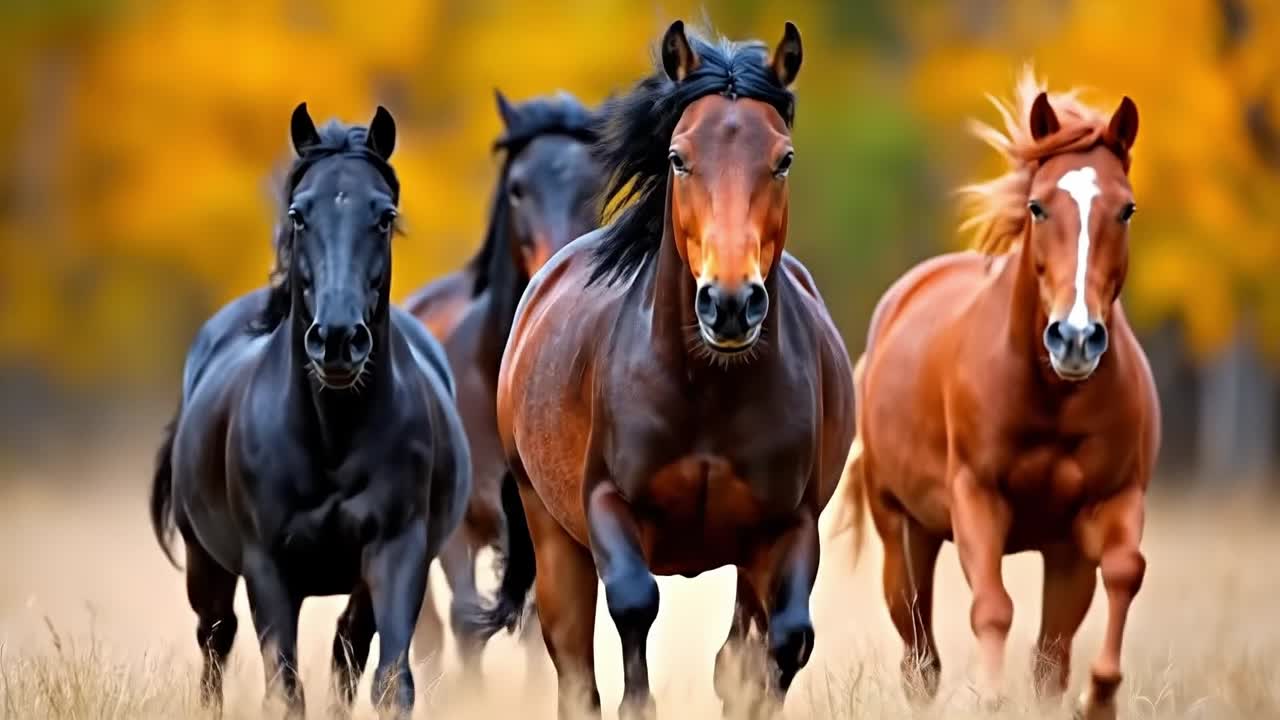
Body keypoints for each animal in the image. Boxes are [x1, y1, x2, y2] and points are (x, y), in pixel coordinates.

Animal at [149, 104, 472, 719]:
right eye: (299, 214)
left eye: (384, 216)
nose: (339, 340)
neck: (331, 439)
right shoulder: (268, 569)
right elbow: (285, 686)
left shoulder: (397, 553)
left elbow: (390, 680)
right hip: (206, 563)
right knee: (215, 642)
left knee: (348, 647)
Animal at [401, 90, 603, 677]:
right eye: (517, 187)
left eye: (595, 181)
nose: (554, 272)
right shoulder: (458, 530)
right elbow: (468, 622)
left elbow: (543, 629)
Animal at [471, 20, 855, 720]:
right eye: (679, 157)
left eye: (782, 159)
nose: (729, 304)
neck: (707, 391)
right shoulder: (605, 504)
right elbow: (633, 604)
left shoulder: (788, 525)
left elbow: (782, 645)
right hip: (551, 531)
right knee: (572, 662)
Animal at [837, 67, 1157, 720]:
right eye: (1038, 206)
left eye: (1127, 209)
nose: (1076, 337)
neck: (1053, 398)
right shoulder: (976, 498)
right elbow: (992, 607)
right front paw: (989, 697)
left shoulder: (1111, 503)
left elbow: (1124, 571)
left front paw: (1101, 693)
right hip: (903, 531)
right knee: (920, 654)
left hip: (1059, 555)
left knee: (1050, 656)